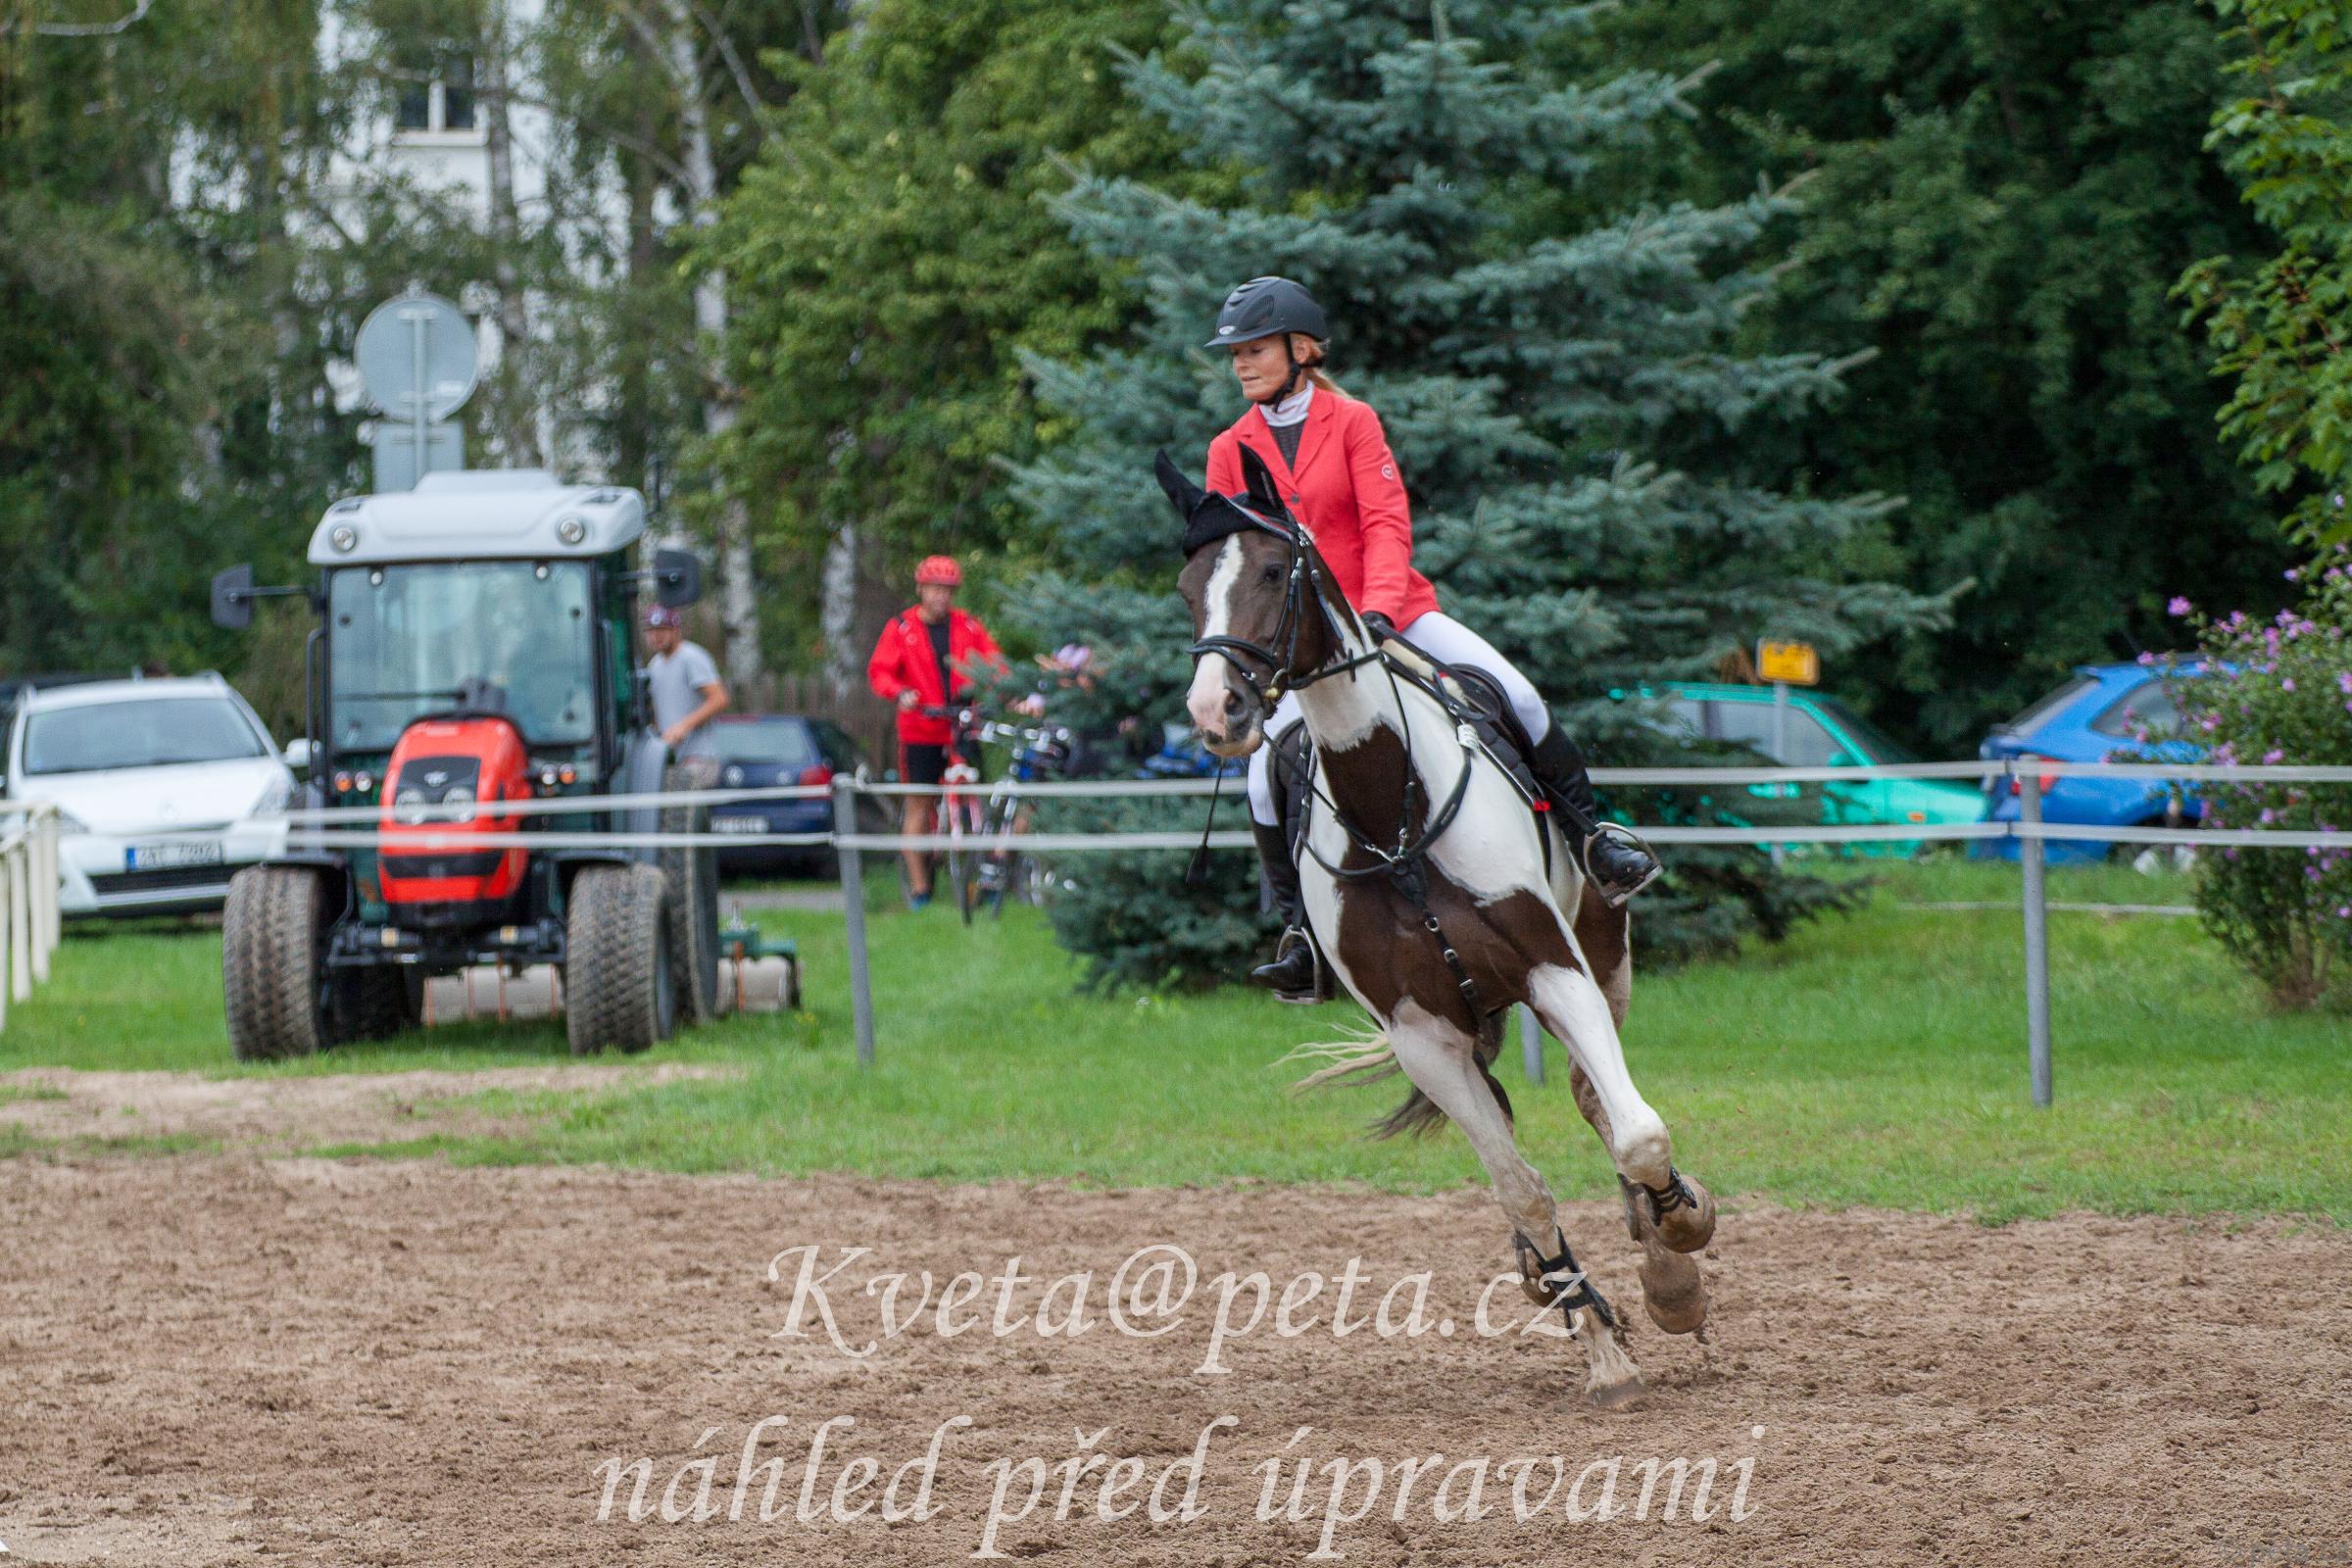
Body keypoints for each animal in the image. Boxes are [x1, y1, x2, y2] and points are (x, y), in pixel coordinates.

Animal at [1159, 447, 1716, 1408]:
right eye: (1191, 586)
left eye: (1271, 571)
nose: (1216, 711)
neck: (1393, 810)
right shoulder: (1423, 1035)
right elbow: (1520, 1188)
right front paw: (1599, 1344)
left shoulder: (1555, 972)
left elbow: (1641, 1132)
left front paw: (1678, 1244)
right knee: (1520, 1137)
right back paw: (1551, 1272)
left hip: (1603, 959)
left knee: (1595, 1099)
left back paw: (1662, 1261)